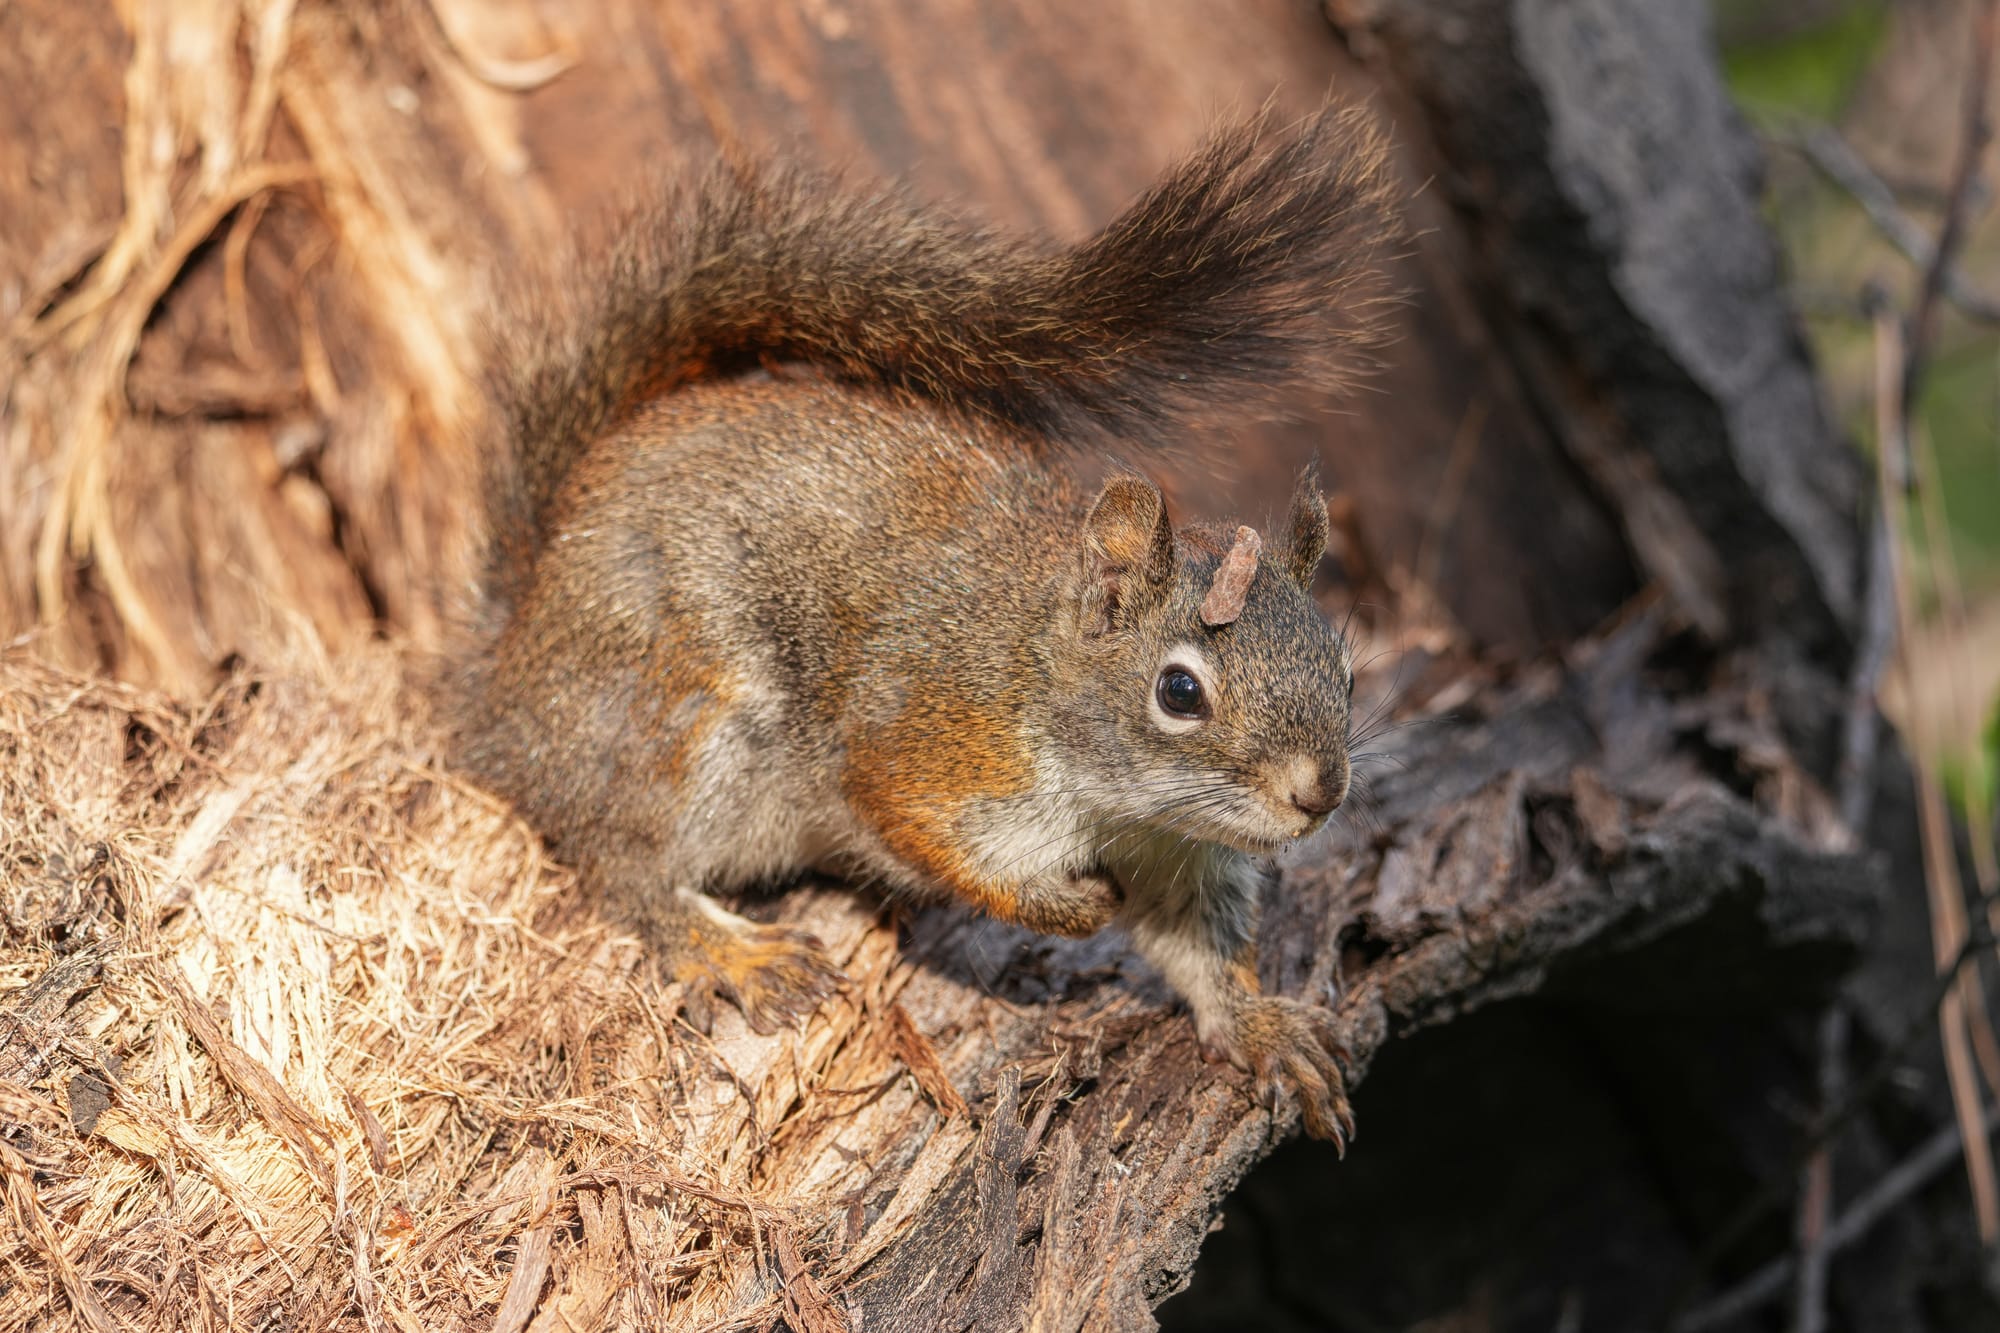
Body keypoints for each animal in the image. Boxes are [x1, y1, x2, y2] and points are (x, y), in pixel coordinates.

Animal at [450, 106, 1398, 1147]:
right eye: (1179, 690)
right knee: (622, 862)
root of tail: (509, 666)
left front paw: (1262, 1026)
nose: (1320, 793)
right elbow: (912, 823)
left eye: (1346, 670)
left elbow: (1202, 951)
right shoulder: (931, 743)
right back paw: (727, 950)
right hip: (681, 714)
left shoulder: (1178, 852)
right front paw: (1069, 905)